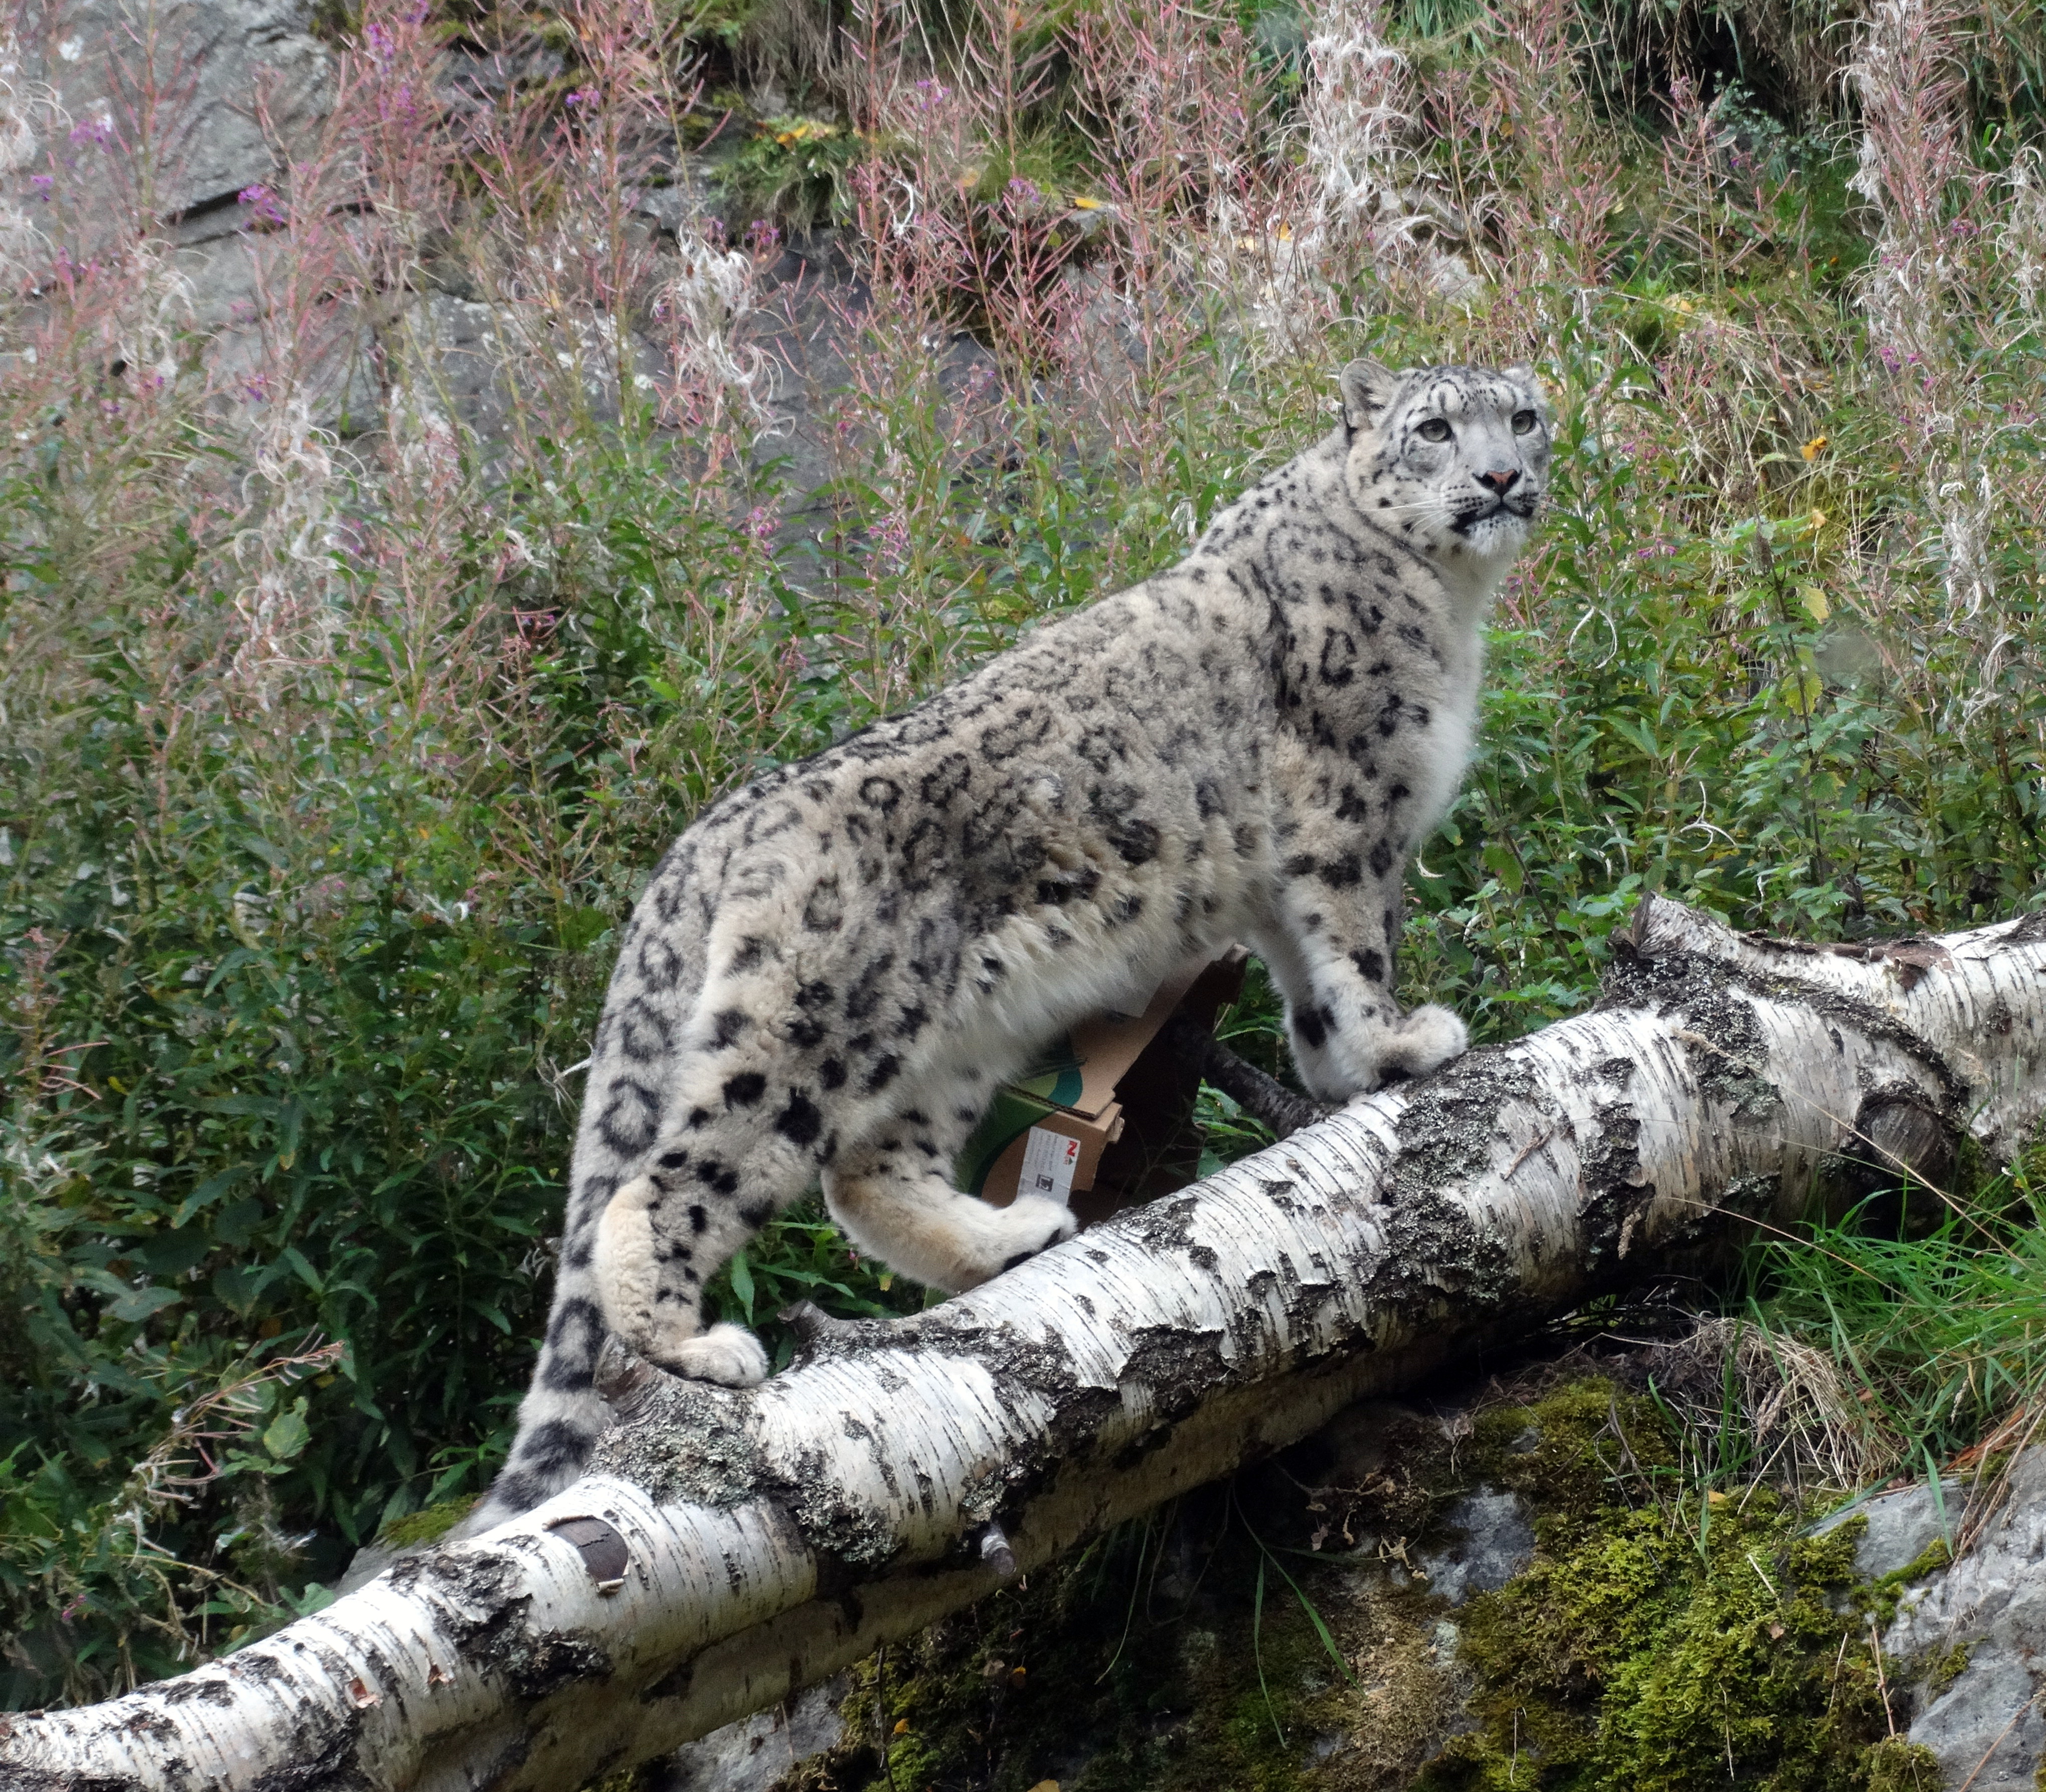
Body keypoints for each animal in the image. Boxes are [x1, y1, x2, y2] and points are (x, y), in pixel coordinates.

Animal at [454, 356, 1552, 1536]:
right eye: (1433, 428)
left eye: (1523, 416)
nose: (1501, 475)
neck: (1448, 601)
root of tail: (711, 831)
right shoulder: (1348, 810)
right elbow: (1354, 944)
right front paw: (1402, 1045)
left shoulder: (1285, 873)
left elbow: (1308, 982)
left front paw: (1346, 1070)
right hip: (814, 1028)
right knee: (665, 1184)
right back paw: (697, 1346)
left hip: (950, 1038)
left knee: (865, 1175)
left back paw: (1014, 1234)